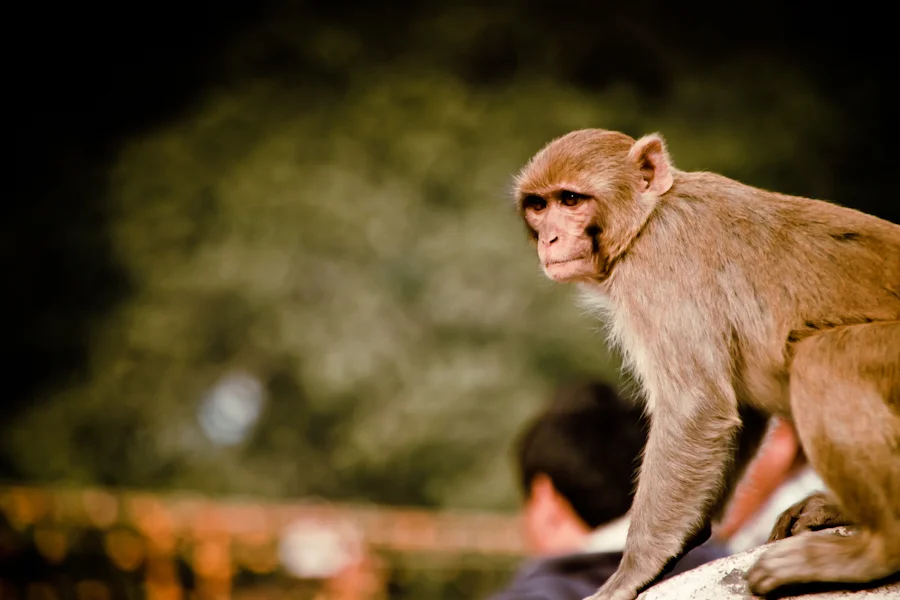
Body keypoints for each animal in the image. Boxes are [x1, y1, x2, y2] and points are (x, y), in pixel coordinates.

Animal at [512, 128, 900, 600]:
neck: (646, 219)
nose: (549, 239)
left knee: (825, 361)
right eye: (539, 206)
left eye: (570, 199)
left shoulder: (658, 268)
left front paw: (636, 568)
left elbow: (696, 407)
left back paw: (878, 551)